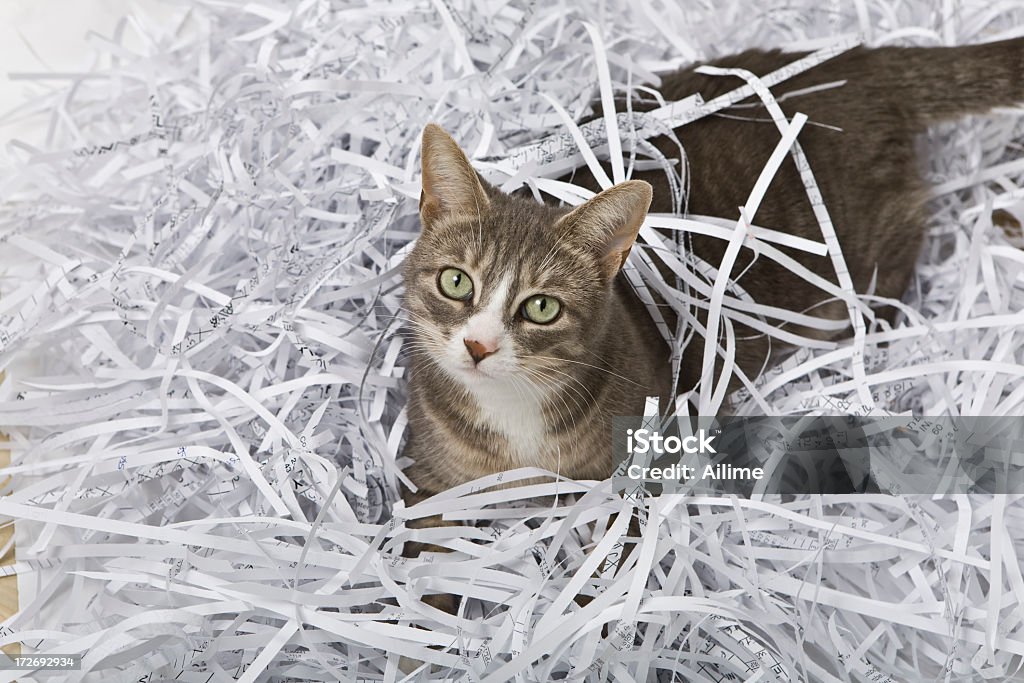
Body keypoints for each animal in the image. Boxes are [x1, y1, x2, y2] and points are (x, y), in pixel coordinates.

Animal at [395, 40, 1024, 606]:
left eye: (541, 307)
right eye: (456, 282)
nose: (478, 345)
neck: (513, 418)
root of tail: (857, 62)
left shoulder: (639, 467)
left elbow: (614, 568)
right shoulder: (430, 483)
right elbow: (420, 574)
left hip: (864, 266)